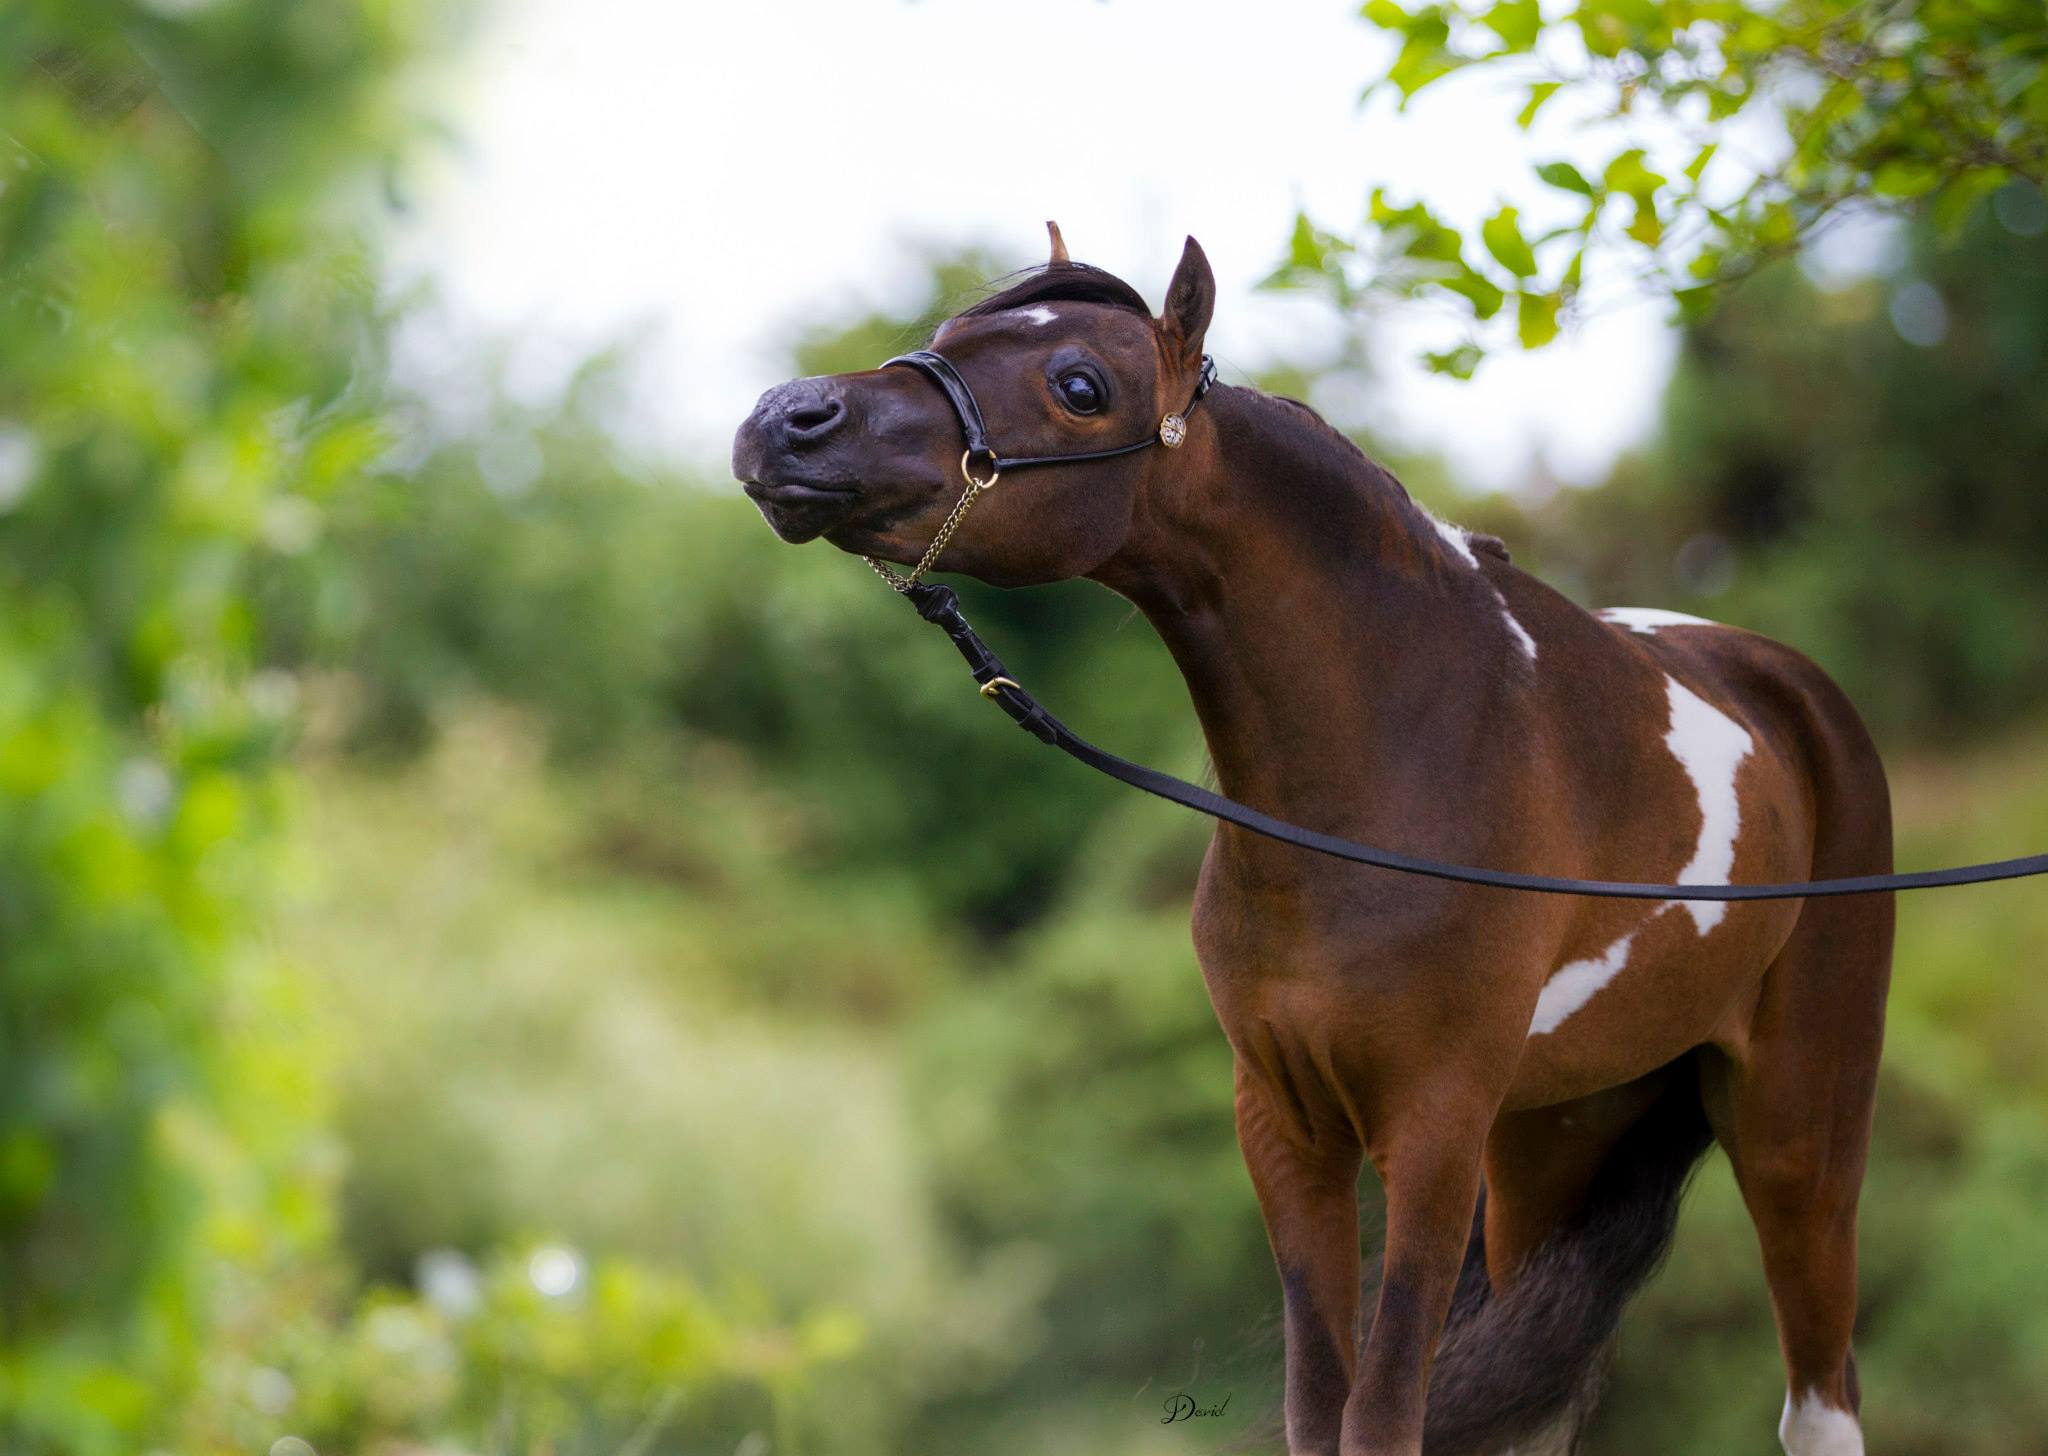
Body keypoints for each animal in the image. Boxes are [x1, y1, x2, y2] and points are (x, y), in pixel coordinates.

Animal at [732, 226, 1889, 1456]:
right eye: (952, 332)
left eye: (1080, 387)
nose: (787, 418)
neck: (1393, 774)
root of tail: (1793, 691)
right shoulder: (1288, 1129)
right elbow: (1318, 1404)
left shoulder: (1430, 1133)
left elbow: (1379, 1416)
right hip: (1553, 1142)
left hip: (1798, 1135)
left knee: (1820, 1400)